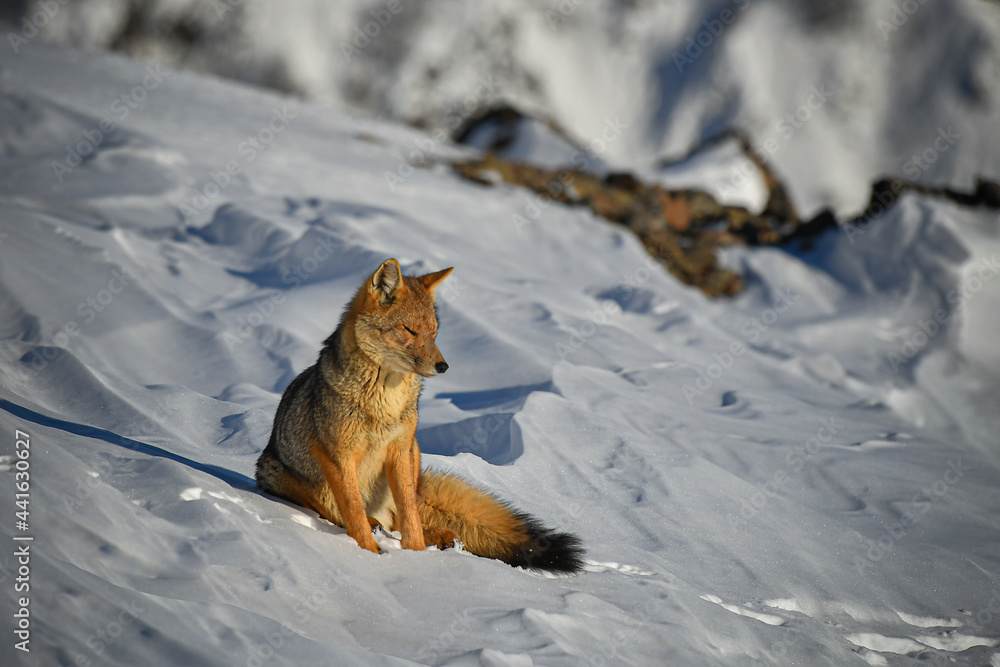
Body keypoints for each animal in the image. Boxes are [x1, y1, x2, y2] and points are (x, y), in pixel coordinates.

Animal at [255, 258, 583, 574]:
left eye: (434, 333)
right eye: (409, 330)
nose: (443, 366)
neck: (383, 402)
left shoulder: (399, 449)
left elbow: (410, 515)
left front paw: (416, 557)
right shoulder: (339, 455)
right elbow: (353, 511)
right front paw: (368, 554)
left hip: (415, 452)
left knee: (400, 517)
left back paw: (436, 535)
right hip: (278, 474)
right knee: (345, 513)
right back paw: (376, 526)